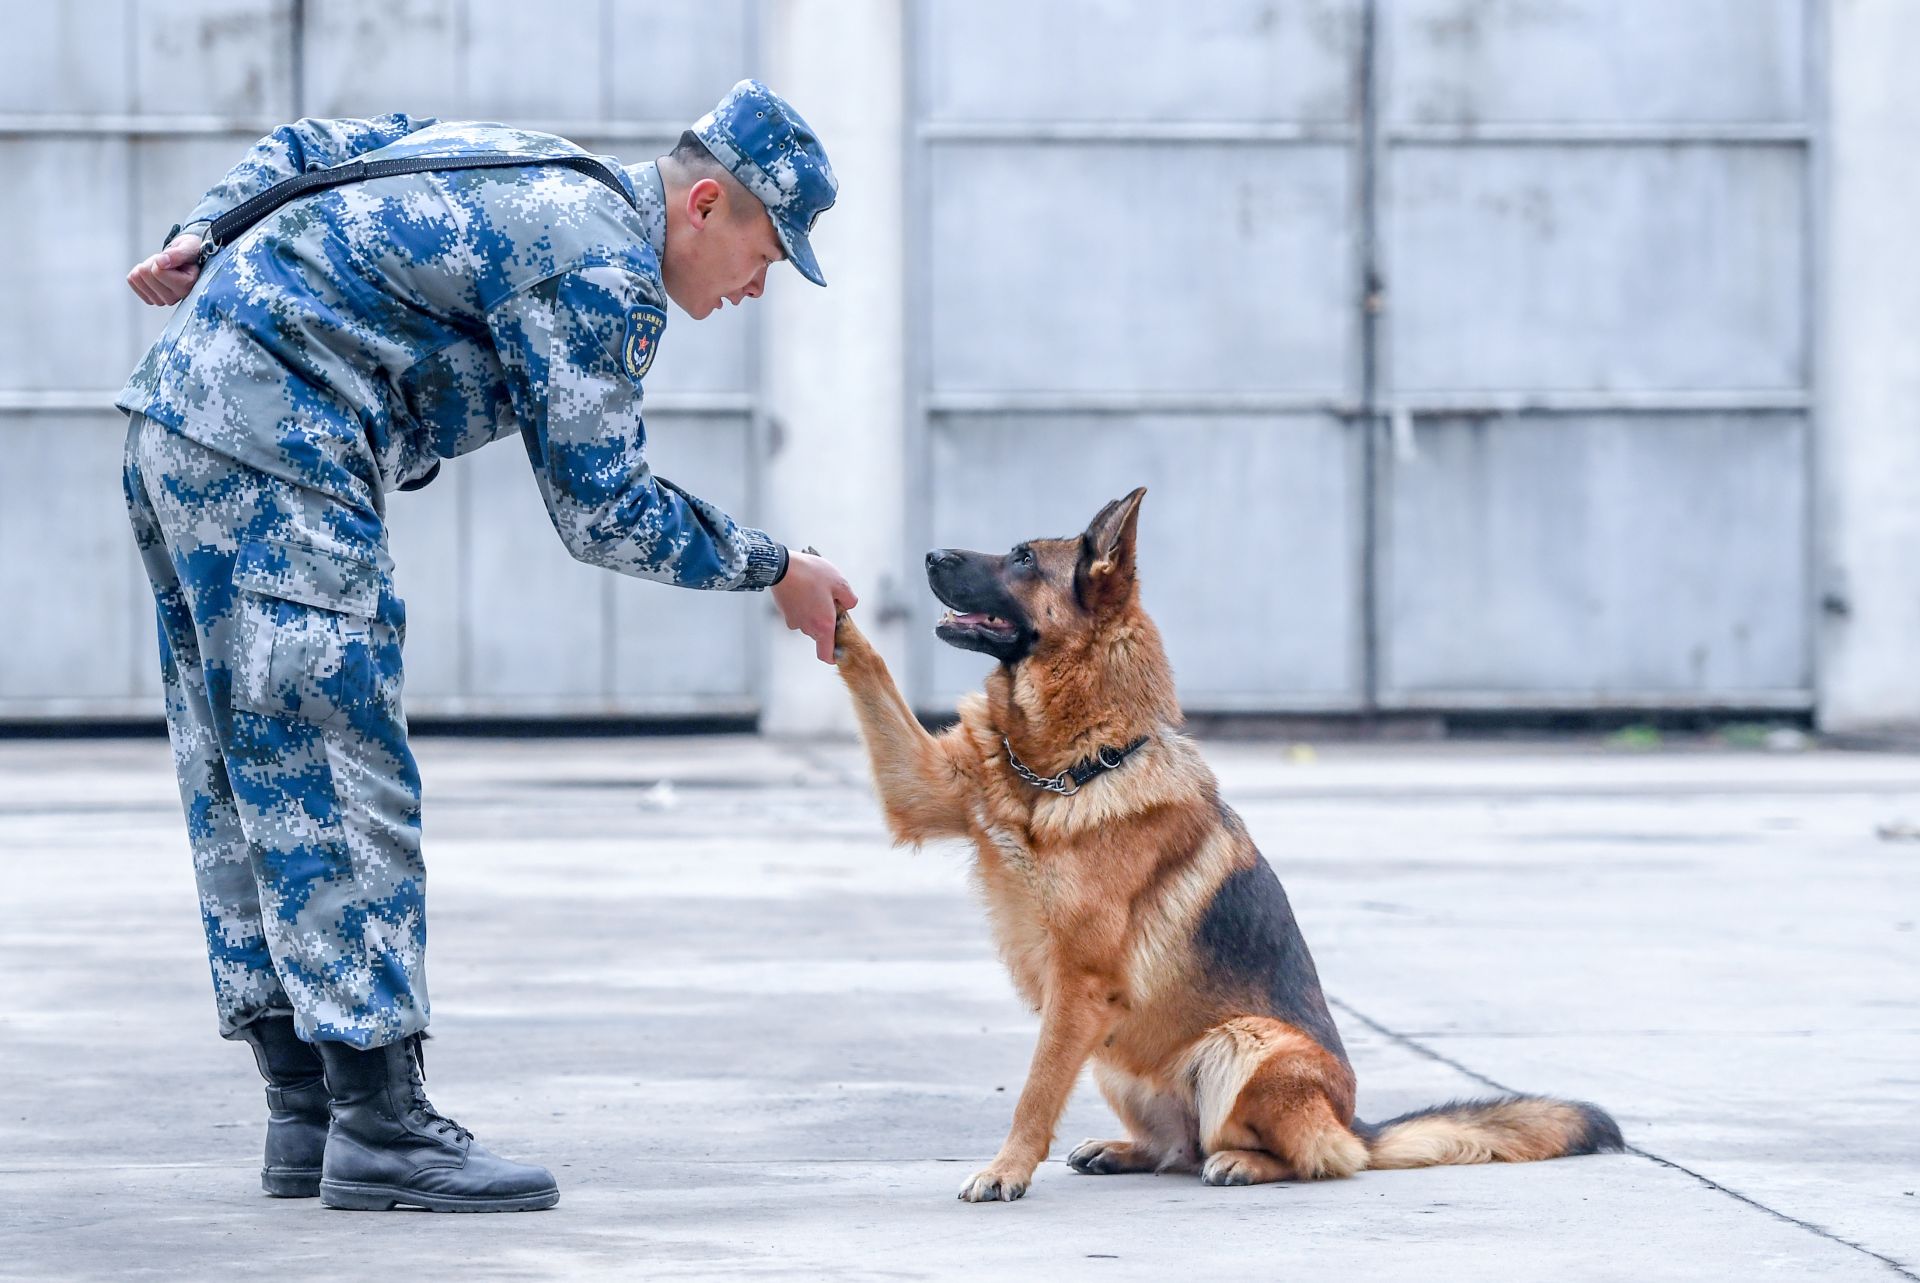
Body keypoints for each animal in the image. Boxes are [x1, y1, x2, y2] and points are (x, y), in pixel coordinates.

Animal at [837, 487, 1620, 1206]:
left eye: (1024, 558)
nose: (930, 555)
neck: (1068, 767)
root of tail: (1355, 1119)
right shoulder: (924, 788)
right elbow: (873, 673)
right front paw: (833, 609)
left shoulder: (1078, 987)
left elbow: (1035, 1089)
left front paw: (1006, 1169)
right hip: (1117, 1058)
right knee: (1178, 1148)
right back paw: (1125, 1149)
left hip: (1246, 1044)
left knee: (1312, 1156)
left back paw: (1246, 1161)